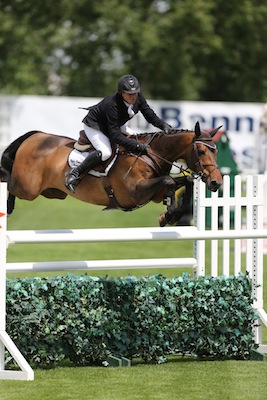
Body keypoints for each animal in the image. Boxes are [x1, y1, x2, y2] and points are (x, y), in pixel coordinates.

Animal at [0, 120, 224, 227]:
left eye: (216, 151)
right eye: (201, 151)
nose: (216, 182)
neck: (150, 154)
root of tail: (35, 135)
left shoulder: (153, 193)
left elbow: (184, 182)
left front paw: (170, 215)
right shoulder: (134, 192)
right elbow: (169, 181)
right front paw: (168, 214)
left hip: (53, 192)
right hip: (28, 188)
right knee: (8, 182)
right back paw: (8, 208)